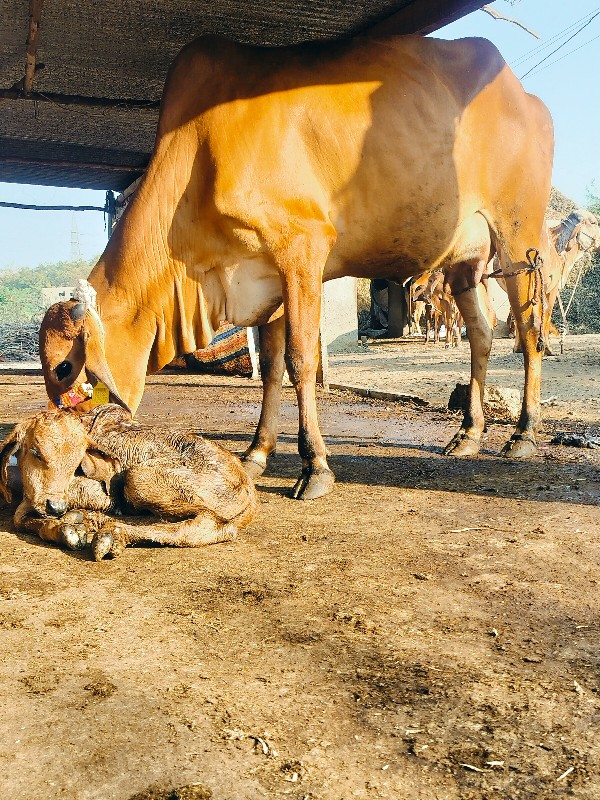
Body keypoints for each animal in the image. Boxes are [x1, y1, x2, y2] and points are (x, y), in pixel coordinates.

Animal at [0, 406, 255, 564]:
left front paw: (67, 528)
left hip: (138, 478)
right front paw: (67, 527)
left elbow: (19, 515)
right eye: (36, 452)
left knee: (206, 524)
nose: (56, 507)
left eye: (76, 460)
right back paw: (89, 519)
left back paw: (111, 534)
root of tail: (250, 493)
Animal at [36, 32, 552, 500]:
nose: (71, 460)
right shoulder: (266, 277)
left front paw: (315, 466)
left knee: (529, 332)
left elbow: (300, 359)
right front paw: (256, 453)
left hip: (519, 236)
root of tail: (524, 95)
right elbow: (270, 368)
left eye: (64, 368)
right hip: (465, 262)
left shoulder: (302, 251)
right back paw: (468, 434)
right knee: (482, 333)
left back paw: (522, 434)